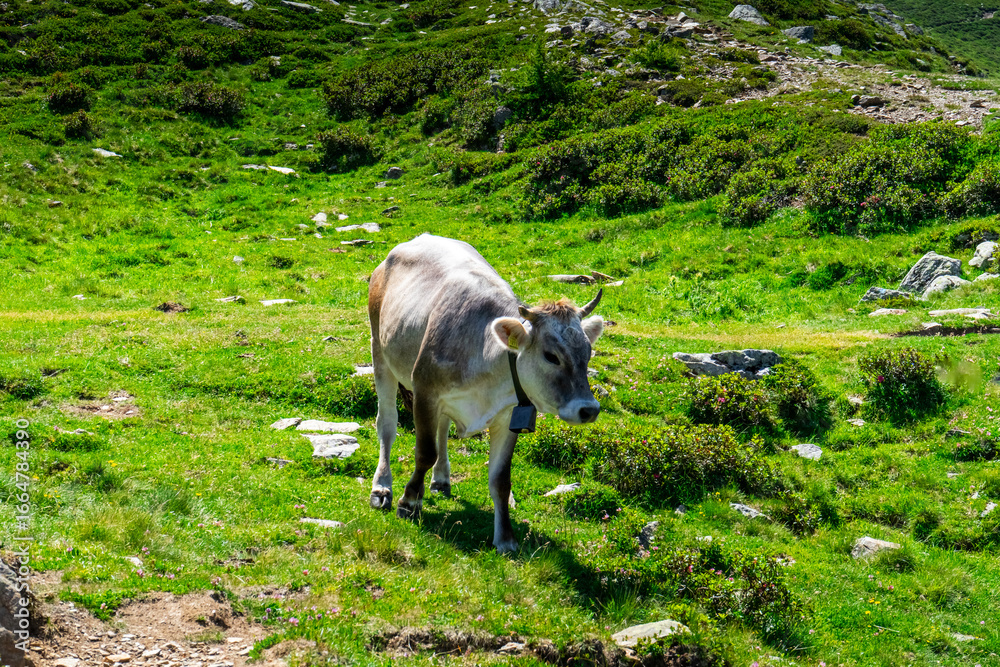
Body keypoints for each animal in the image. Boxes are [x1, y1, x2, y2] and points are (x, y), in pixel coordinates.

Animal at [366, 234, 605, 553]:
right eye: (551, 356)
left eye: (588, 353)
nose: (588, 409)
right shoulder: (426, 391)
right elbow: (424, 452)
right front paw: (409, 502)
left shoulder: (509, 417)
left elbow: (500, 479)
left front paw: (505, 539)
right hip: (380, 352)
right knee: (387, 424)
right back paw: (382, 486)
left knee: (443, 428)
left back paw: (441, 478)